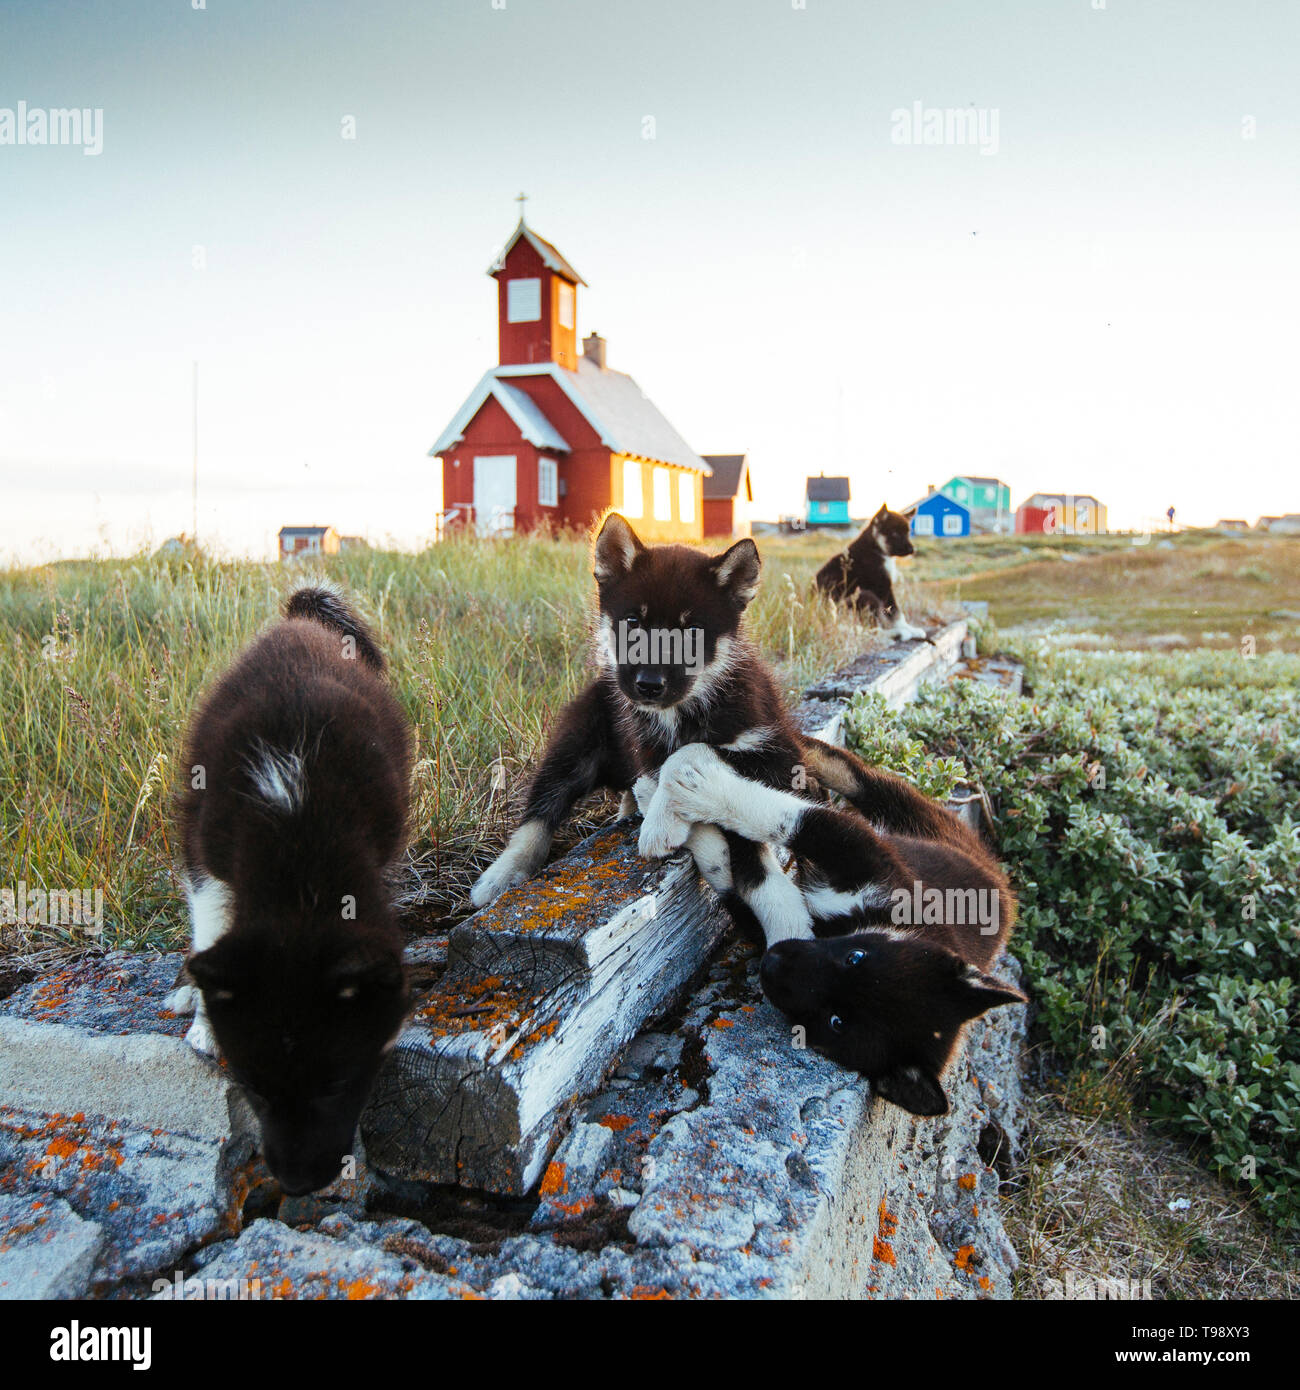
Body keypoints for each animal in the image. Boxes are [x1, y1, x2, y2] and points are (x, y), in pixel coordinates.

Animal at [165, 586, 411, 1195]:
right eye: (253, 1086)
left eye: (336, 1084)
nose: (297, 1184)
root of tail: (298, 622)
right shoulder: (208, 845)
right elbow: (210, 918)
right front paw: (205, 1017)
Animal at [639, 739, 1028, 1117]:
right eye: (857, 956)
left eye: (835, 1022)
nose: (773, 962)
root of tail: (1001, 881)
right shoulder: (862, 853)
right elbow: (790, 819)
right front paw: (694, 790)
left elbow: (743, 871)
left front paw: (699, 807)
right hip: (906, 809)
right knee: (844, 768)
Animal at [811, 505, 923, 639]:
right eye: (895, 534)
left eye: (907, 533)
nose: (912, 550)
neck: (875, 548)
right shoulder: (883, 588)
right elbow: (896, 613)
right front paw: (910, 629)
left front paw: (910, 629)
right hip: (865, 597)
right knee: (871, 631)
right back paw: (897, 633)